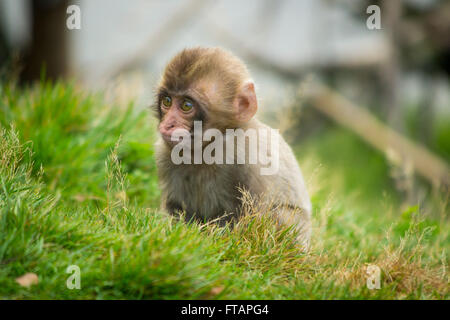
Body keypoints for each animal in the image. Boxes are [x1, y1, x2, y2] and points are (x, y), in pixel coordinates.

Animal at [153, 47, 312, 248]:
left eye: (186, 105)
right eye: (167, 101)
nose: (167, 125)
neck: (207, 149)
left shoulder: (246, 155)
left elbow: (251, 225)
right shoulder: (165, 155)